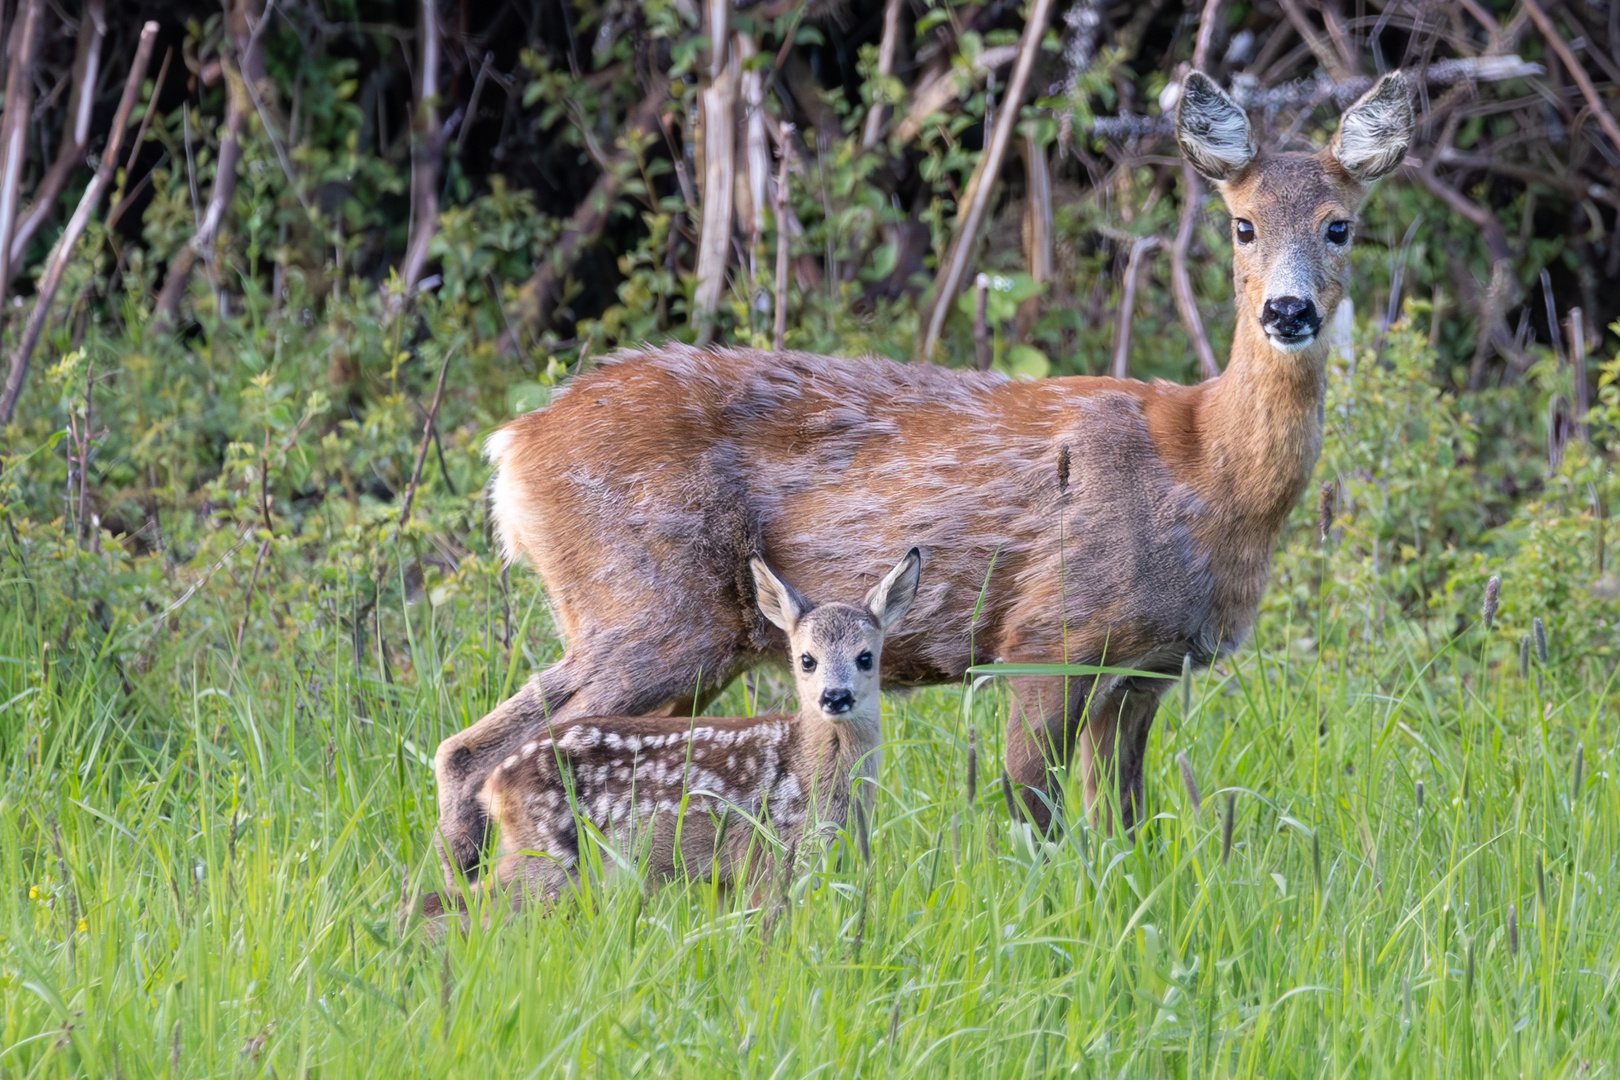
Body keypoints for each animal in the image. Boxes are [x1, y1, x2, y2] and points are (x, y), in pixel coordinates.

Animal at [473, 553, 920, 906]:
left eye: (866, 657)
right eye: (806, 659)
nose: (835, 696)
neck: (805, 768)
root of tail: (494, 783)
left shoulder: (730, 876)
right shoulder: (763, 851)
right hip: (548, 853)